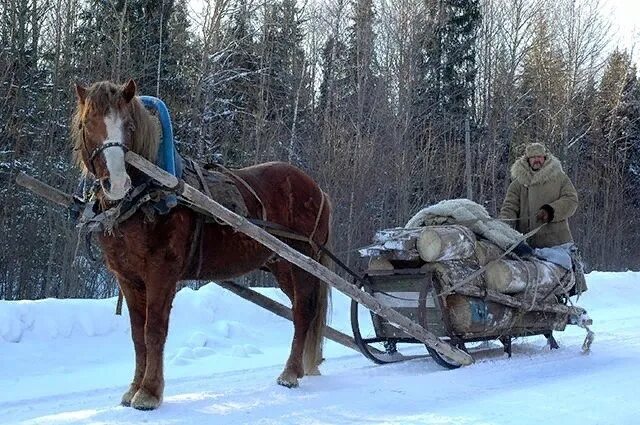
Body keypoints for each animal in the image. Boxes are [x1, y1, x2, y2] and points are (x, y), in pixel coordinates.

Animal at [72, 78, 332, 408]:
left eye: (129, 125)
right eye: (87, 123)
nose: (116, 183)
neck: (149, 198)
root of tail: (318, 189)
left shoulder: (162, 273)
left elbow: (154, 330)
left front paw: (149, 393)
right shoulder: (128, 278)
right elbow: (137, 334)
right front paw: (133, 389)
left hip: (303, 263)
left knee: (303, 313)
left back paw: (289, 373)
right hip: (282, 266)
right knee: (300, 309)